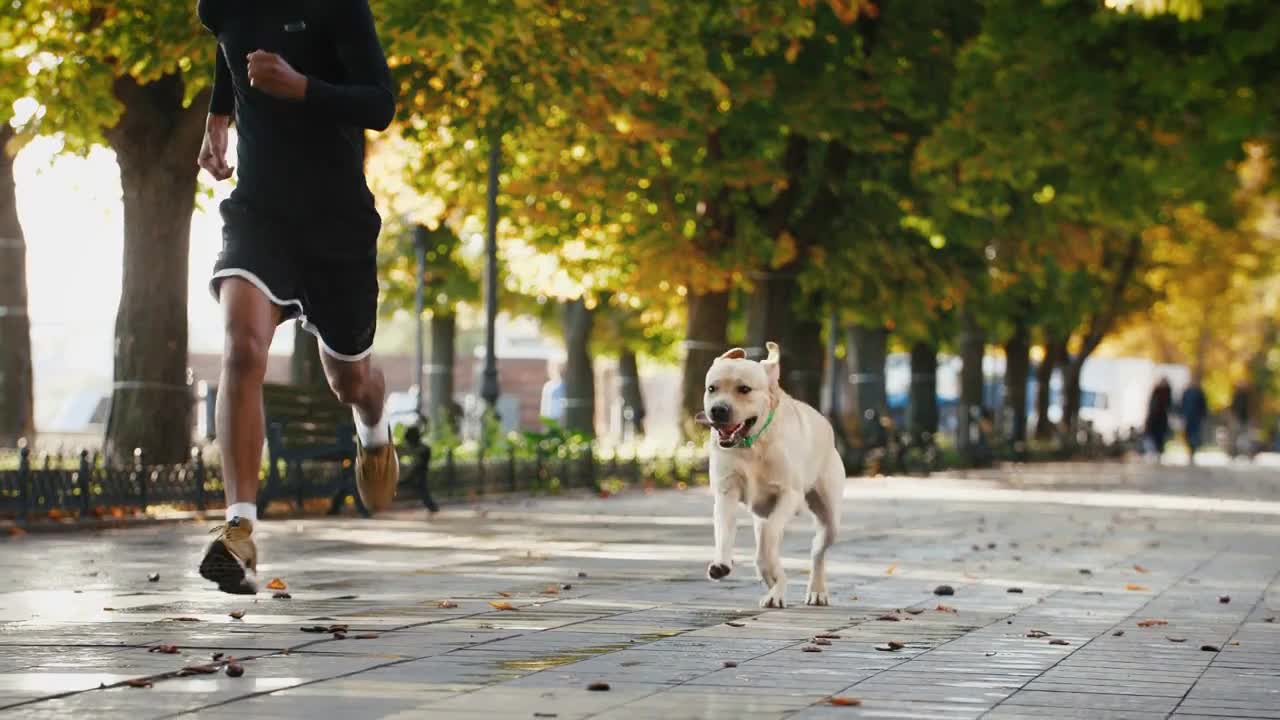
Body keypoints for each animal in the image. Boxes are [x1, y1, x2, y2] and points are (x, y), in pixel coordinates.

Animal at [696, 340, 844, 604]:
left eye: (744, 389)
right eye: (712, 388)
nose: (718, 410)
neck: (752, 445)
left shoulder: (789, 494)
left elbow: (770, 535)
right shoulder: (726, 491)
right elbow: (724, 528)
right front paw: (721, 563)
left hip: (830, 515)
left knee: (816, 550)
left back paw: (815, 589)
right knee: (766, 557)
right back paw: (775, 588)